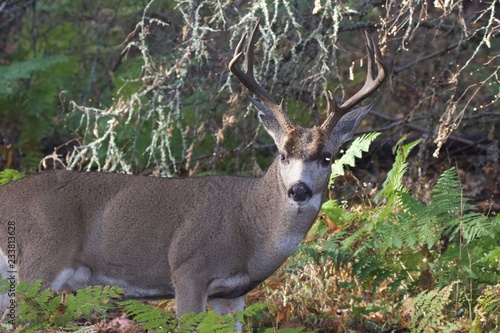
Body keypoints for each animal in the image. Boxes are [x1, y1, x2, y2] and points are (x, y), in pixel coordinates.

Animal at [0, 19, 386, 326]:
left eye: (327, 157)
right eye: (281, 154)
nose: (299, 190)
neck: (252, 229)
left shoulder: (232, 294)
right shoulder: (188, 269)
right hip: (40, 259)